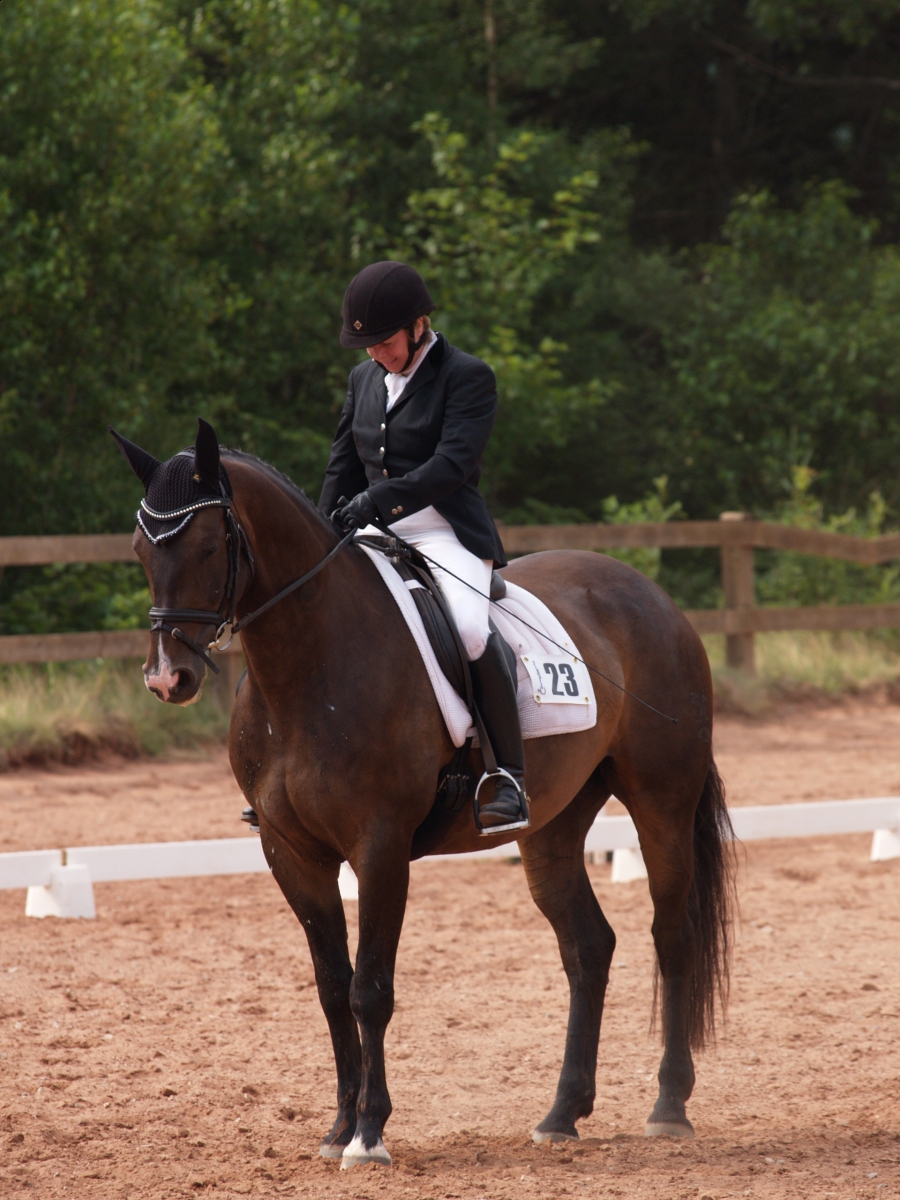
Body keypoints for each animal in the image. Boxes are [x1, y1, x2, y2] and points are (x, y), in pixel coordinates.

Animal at [114, 419, 734, 1169]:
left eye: (209, 544)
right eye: (141, 548)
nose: (167, 678)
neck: (309, 665)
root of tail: (649, 593)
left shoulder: (379, 846)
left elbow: (370, 989)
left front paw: (369, 1134)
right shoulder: (291, 851)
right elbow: (332, 986)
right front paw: (338, 1126)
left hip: (661, 800)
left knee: (671, 935)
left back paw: (669, 1106)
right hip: (552, 824)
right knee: (589, 947)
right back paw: (561, 1114)